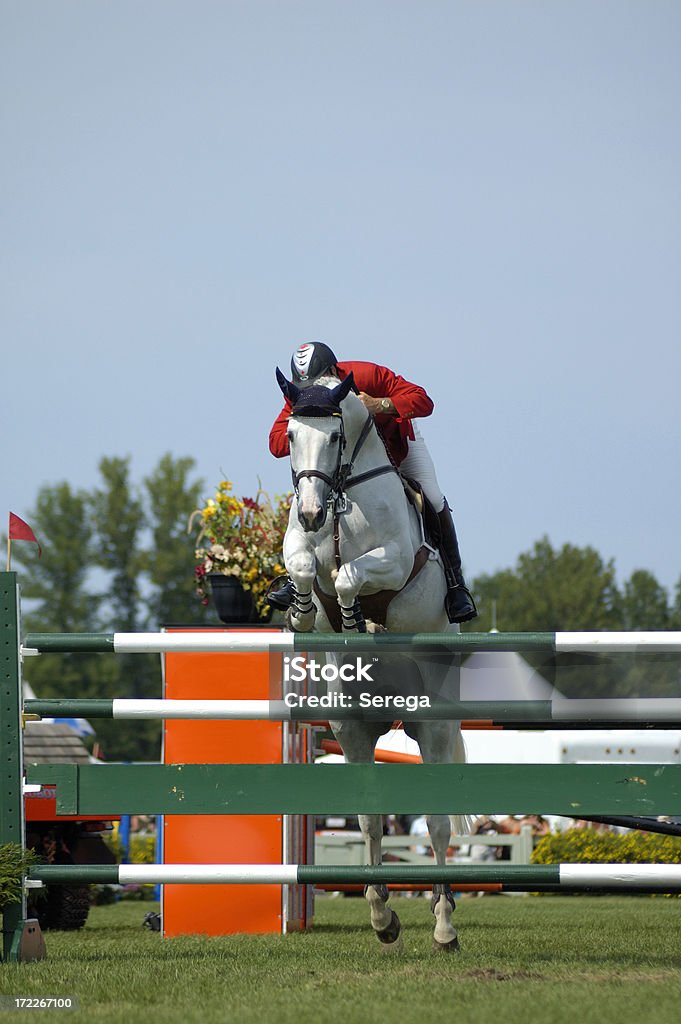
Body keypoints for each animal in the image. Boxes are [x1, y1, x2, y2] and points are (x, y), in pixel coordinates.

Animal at [278, 370, 466, 950]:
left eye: (337, 436)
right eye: (290, 435)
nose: (311, 512)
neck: (342, 496)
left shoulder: (394, 560)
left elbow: (347, 576)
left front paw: (355, 616)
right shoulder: (301, 546)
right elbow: (304, 566)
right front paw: (302, 611)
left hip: (433, 724)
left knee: (438, 823)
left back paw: (445, 921)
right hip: (355, 730)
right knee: (371, 819)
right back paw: (384, 914)